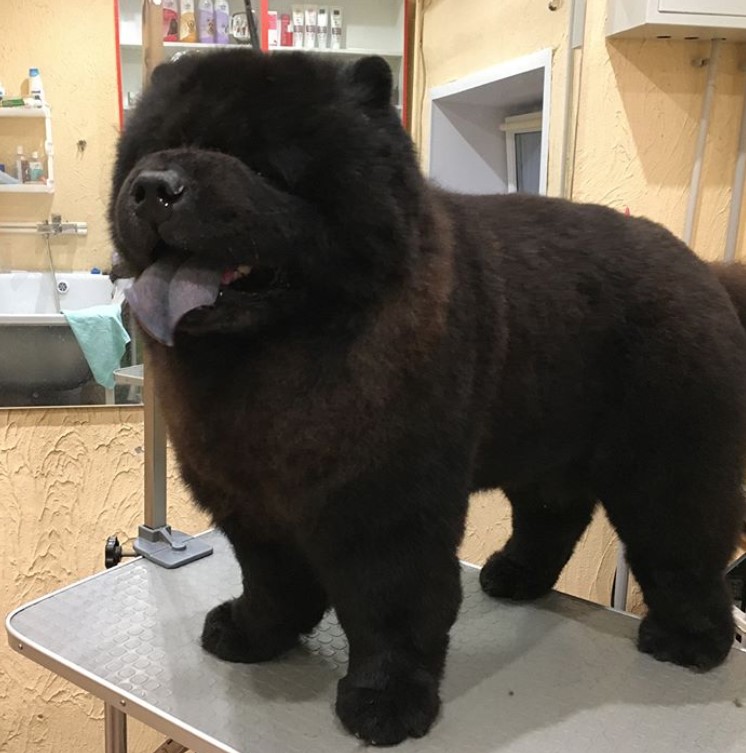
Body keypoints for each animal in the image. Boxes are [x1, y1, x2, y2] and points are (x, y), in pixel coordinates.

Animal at [110, 50, 744, 744]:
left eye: (259, 165)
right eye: (154, 148)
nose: (153, 186)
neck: (273, 358)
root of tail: (705, 271)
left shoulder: (387, 508)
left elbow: (392, 608)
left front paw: (386, 702)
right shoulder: (251, 502)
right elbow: (272, 582)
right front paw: (253, 635)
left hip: (666, 465)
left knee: (683, 547)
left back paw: (690, 641)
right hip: (545, 447)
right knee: (554, 516)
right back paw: (515, 575)